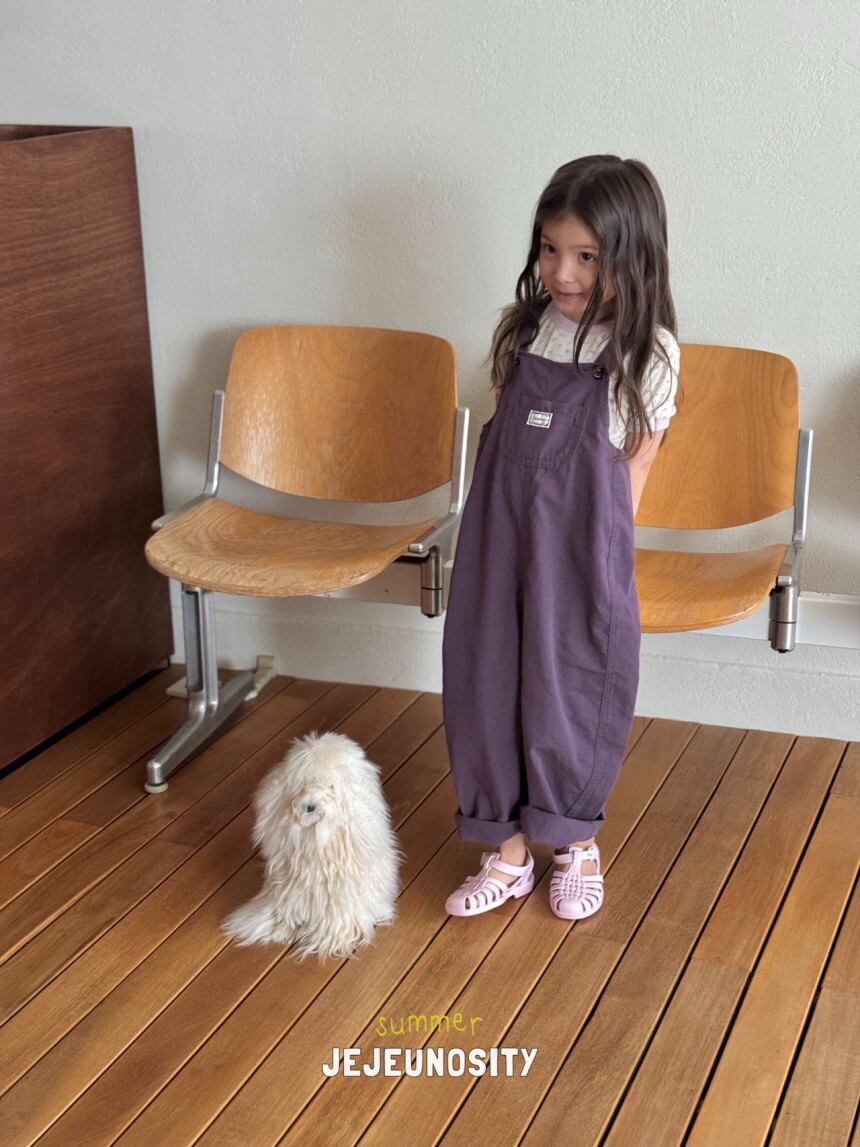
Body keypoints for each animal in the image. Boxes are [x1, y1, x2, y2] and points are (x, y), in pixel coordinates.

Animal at [222, 729, 404, 962]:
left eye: (330, 786)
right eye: (302, 783)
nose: (309, 806)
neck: (314, 838)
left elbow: (335, 926)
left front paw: (324, 940)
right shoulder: (288, 890)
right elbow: (281, 914)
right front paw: (277, 929)